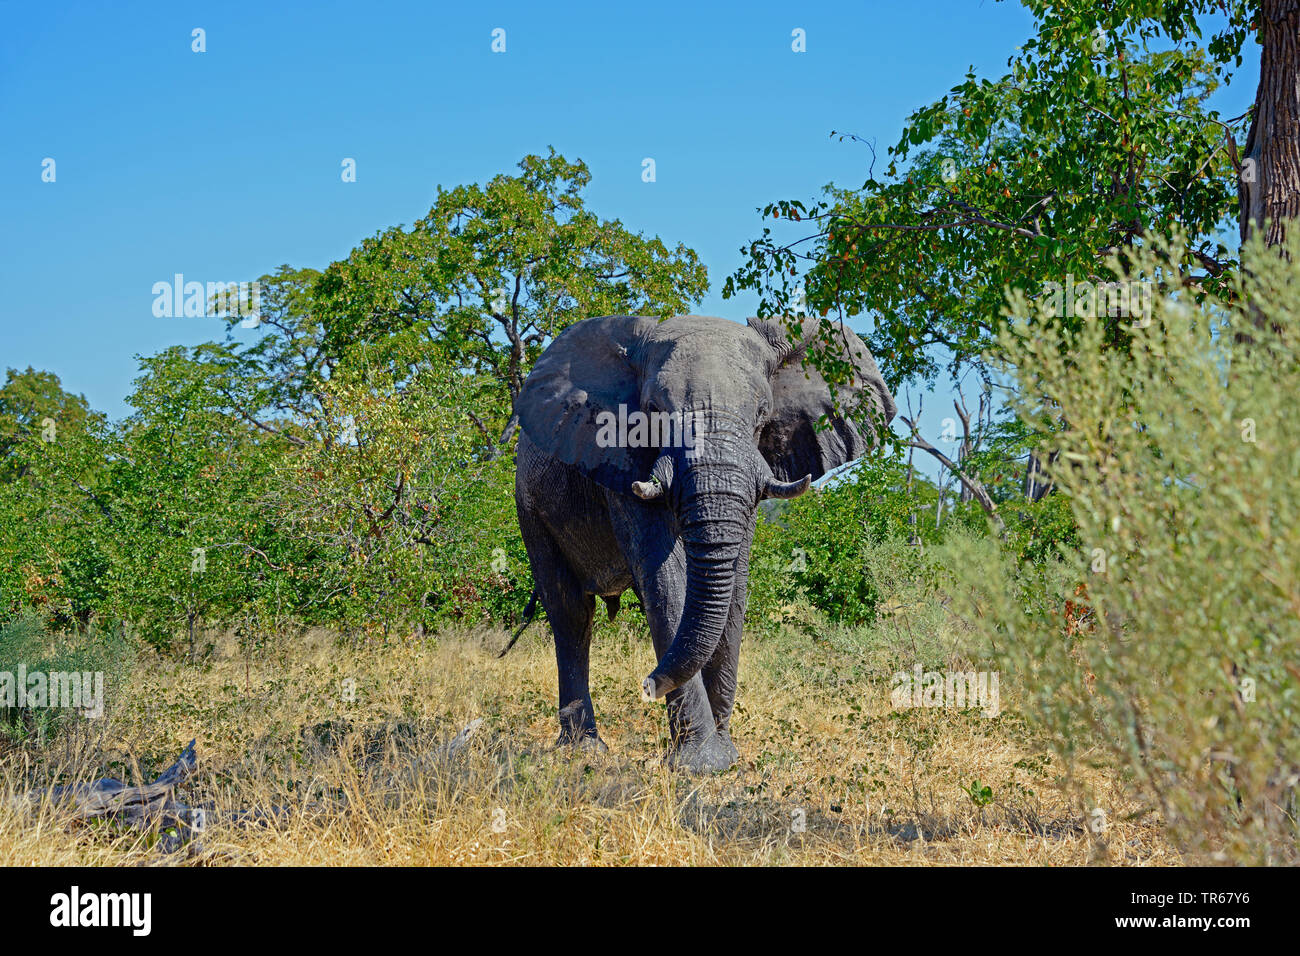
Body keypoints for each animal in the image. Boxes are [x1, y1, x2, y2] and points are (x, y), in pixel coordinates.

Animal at [512, 310, 899, 775]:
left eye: (763, 414)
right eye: (653, 412)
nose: (647, 685)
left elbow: (733, 584)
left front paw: (724, 757)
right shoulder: (622, 462)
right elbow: (667, 581)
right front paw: (699, 765)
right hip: (529, 504)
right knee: (571, 614)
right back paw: (583, 751)